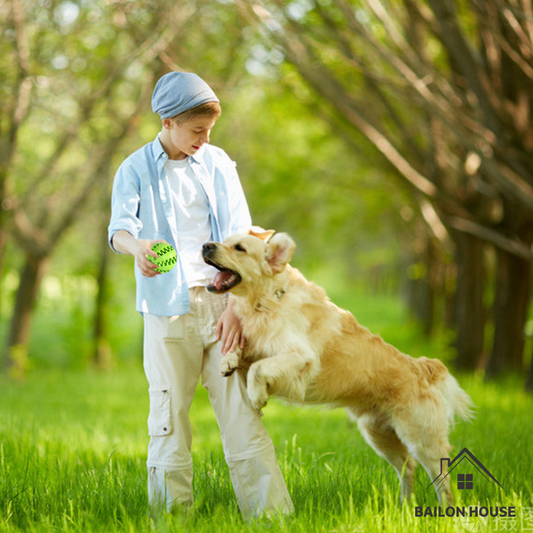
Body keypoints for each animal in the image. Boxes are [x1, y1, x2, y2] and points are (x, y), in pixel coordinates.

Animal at [202, 229, 472, 502]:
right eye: (225, 241)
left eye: (239, 248)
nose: (205, 245)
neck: (268, 298)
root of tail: (423, 367)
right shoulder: (258, 341)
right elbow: (243, 349)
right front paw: (228, 360)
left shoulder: (301, 356)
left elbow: (259, 369)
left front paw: (257, 397)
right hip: (378, 435)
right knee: (408, 467)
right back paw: (404, 505)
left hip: (421, 438)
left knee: (442, 478)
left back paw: (443, 508)